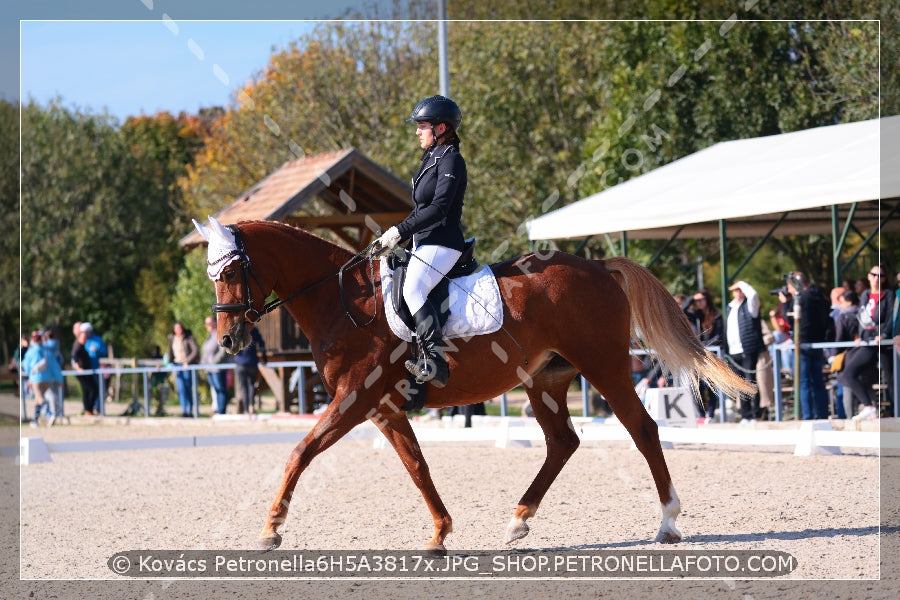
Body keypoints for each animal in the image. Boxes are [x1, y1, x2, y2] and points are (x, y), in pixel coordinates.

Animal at [193, 217, 748, 552]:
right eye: (211, 274)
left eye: (232, 270)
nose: (228, 339)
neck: (344, 301)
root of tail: (598, 267)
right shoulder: (384, 408)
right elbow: (417, 467)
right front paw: (440, 533)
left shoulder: (354, 400)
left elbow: (300, 453)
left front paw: (270, 529)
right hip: (546, 379)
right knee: (562, 442)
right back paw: (519, 519)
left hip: (605, 368)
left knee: (643, 429)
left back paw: (668, 522)